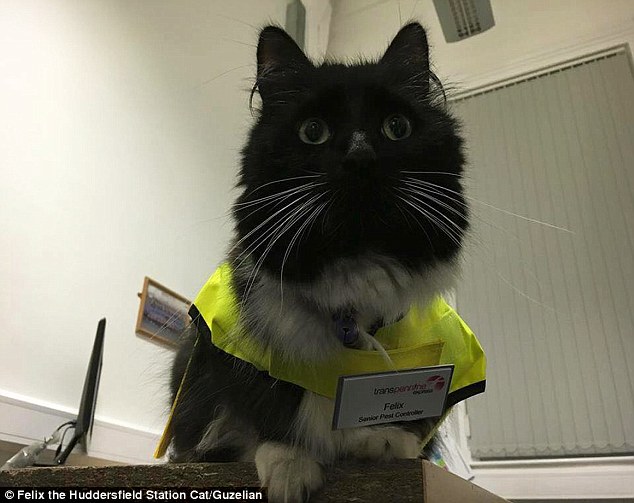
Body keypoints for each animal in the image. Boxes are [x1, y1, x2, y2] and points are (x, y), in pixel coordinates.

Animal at [165, 21, 466, 502]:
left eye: (396, 127)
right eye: (312, 131)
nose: (360, 157)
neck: (354, 267)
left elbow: (414, 418)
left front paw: (382, 441)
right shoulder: (228, 341)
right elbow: (269, 399)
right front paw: (289, 466)